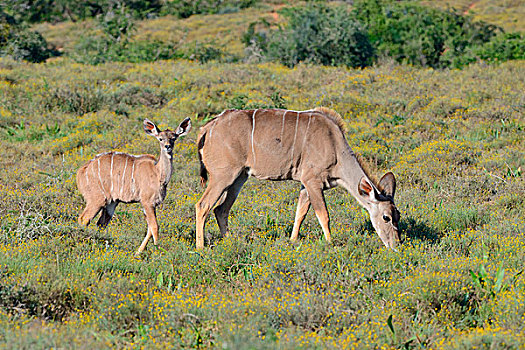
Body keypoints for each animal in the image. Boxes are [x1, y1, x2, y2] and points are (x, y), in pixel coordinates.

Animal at [77, 117, 191, 254]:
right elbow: (154, 226)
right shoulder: (147, 202)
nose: (168, 147)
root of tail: (82, 171)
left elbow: (149, 228)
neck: (158, 173)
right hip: (97, 200)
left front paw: (138, 252)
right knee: (83, 219)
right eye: (160, 138)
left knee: (101, 223)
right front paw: (157, 251)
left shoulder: (149, 204)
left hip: (111, 202)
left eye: (173, 138)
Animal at [194, 108, 400, 250]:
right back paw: (201, 247)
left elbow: (300, 213)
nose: (396, 245)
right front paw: (330, 243)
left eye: (398, 215)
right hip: (223, 176)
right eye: (386, 217)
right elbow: (324, 215)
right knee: (203, 205)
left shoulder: (306, 185)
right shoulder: (312, 182)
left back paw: (231, 242)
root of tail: (207, 128)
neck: (335, 147)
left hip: (239, 178)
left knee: (221, 209)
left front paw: (293, 241)